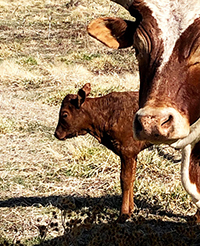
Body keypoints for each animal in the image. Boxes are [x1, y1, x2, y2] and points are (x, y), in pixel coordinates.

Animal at [54, 83, 149, 218]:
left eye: (64, 114)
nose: (56, 134)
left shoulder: (127, 151)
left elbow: (125, 180)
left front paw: (124, 213)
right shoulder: (132, 153)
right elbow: (132, 178)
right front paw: (131, 209)